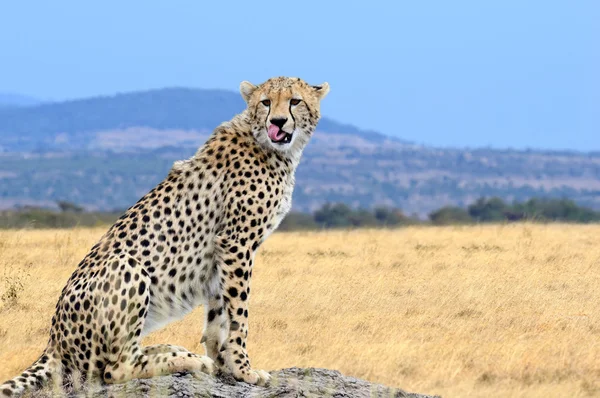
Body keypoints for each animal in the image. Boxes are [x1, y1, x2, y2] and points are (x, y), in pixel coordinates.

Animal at [0, 76, 330, 396]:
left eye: (295, 101)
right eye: (265, 102)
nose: (278, 121)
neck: (271, 146)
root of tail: (53, 341)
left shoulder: (223, 253)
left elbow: (218, 314)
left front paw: (223, 363)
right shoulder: (237, 243)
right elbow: (239, 314)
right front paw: (243, 369)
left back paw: (175, 350)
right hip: (127, 266)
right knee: (114, 369)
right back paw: (183, 359)